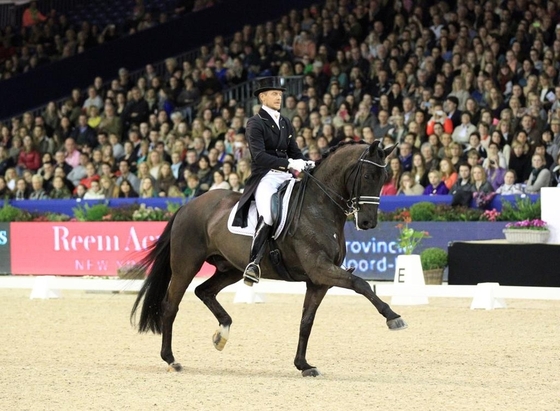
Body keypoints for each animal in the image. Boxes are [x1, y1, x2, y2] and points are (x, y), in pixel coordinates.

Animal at [131, 141, 406, 376]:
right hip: (186, 266)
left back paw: (222, 334)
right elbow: (360, 283)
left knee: (204, 291)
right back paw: (171, 359)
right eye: (368, 176)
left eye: (385, 179)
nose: (368, 222)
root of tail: (188, 206)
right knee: (171, 306)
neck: (318, 207)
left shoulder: (318, 281)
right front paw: (393, 317)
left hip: (230, 268)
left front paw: (303, 365)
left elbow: (306, 321)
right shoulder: (320, 269)